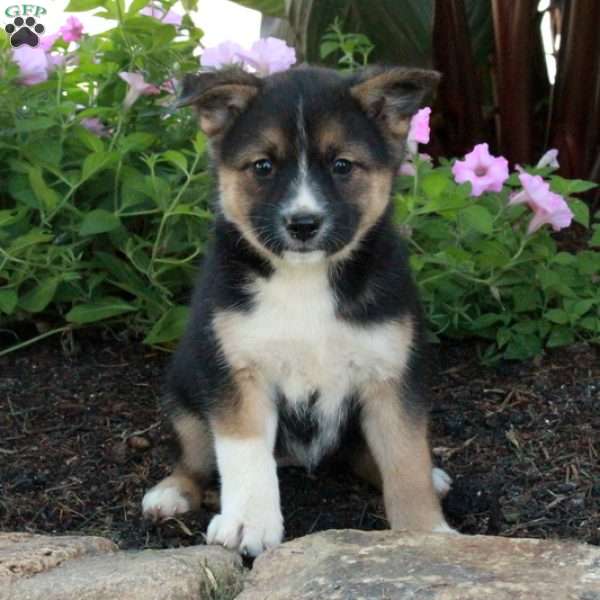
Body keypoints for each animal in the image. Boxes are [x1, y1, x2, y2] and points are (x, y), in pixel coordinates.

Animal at [143, 64, 452, 552]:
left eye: (342, 165)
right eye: (263, 166)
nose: (303, 224)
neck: (305, 280)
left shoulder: (391, 375)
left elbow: (404, 458)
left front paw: (424, 533)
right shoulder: (236, 372)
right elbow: (244, 452)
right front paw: (248, 522)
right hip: (183, 391)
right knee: (193, 456)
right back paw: (172, 492)